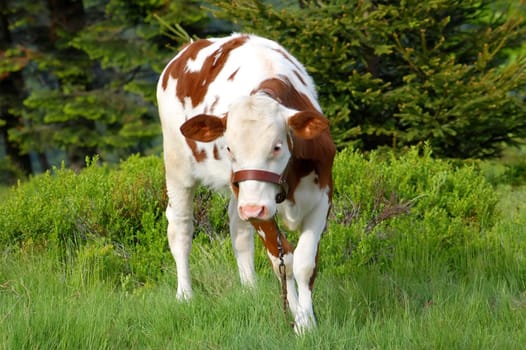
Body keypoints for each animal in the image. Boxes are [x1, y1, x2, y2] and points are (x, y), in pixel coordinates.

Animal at [158, 32, 338, 334]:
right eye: (229, 148)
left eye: (277, 146)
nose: (253, 208)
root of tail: (189, 47)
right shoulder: (260, 208)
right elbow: (283, 260)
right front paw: (298, 318)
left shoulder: (322, 196)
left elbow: (304, 262)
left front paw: (307, 323)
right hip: (178, 165)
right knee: (180, 226)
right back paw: (185, 295)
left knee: (238, 227)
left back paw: (250, 289)